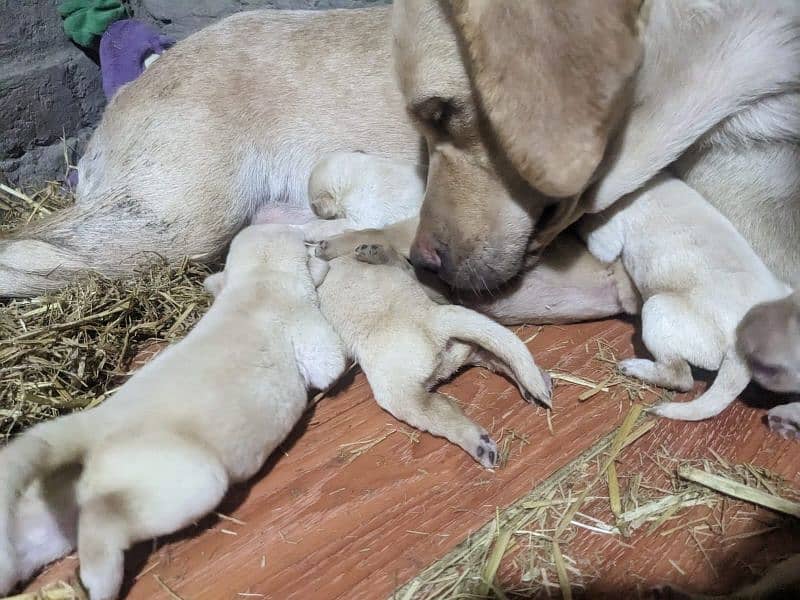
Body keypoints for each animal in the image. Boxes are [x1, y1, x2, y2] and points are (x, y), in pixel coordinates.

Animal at [0, 225, 346, 600]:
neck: (258, 281)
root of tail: (93, 423)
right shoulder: (304, 324)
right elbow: (329, 365)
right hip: (190, 479)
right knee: (103, 520)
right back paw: (100, 581)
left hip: (49, 511)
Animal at [312, 241, 552, 466]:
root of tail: (432, 318)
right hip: (469, 347)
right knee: (500, 358)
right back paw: (537, 382)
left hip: (397, 394)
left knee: (440, 410)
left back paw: (479, 444)